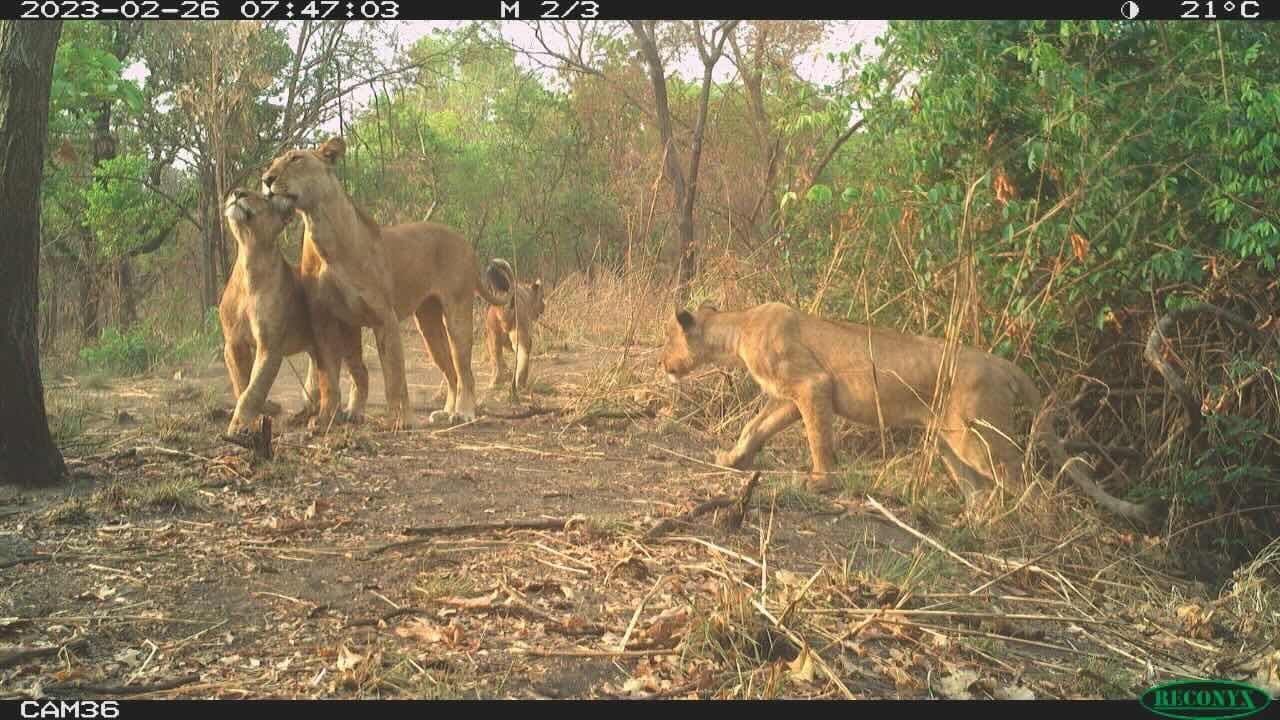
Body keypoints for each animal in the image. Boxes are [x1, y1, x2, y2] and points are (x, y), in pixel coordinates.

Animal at [217, 189, 368, 437]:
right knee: (316, 378)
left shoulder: (270, 347)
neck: (250, 262)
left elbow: (253, 390)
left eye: (264, 198)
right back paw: (304, 415)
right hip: (317, 347)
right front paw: (265, 410)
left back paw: (353, 413)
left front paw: (238, 427)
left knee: (360, 372)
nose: (237, 192)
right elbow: (242, 384)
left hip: (347, 339)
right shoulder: (233, 342)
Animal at [260, 137, 514, 427]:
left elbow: (394, 375)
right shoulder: (329, 318)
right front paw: (330, 417)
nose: (266, 179)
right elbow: (337, 375)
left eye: (295, 159)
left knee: (465, 371)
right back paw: (446, 413)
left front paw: (400, 421)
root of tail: (466, 243)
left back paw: (464, 413)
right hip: (428, 323)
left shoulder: (385, 317)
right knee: (450, 371)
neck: (322, 231)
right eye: (272, 163)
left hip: (457, 314)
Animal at [660, 302, 1164, 525]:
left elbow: (818, 438)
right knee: (980, 490)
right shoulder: (787, 397)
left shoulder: (812, 385)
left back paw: (1027, 526)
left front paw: (821, 481)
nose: (664, 364)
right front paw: (733, 460)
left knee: (1026, 483)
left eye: (668, 339)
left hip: (977, 436)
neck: (738, 328)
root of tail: (1001, 362)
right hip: (948, 441)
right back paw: (971, 523)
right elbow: (755, 427)